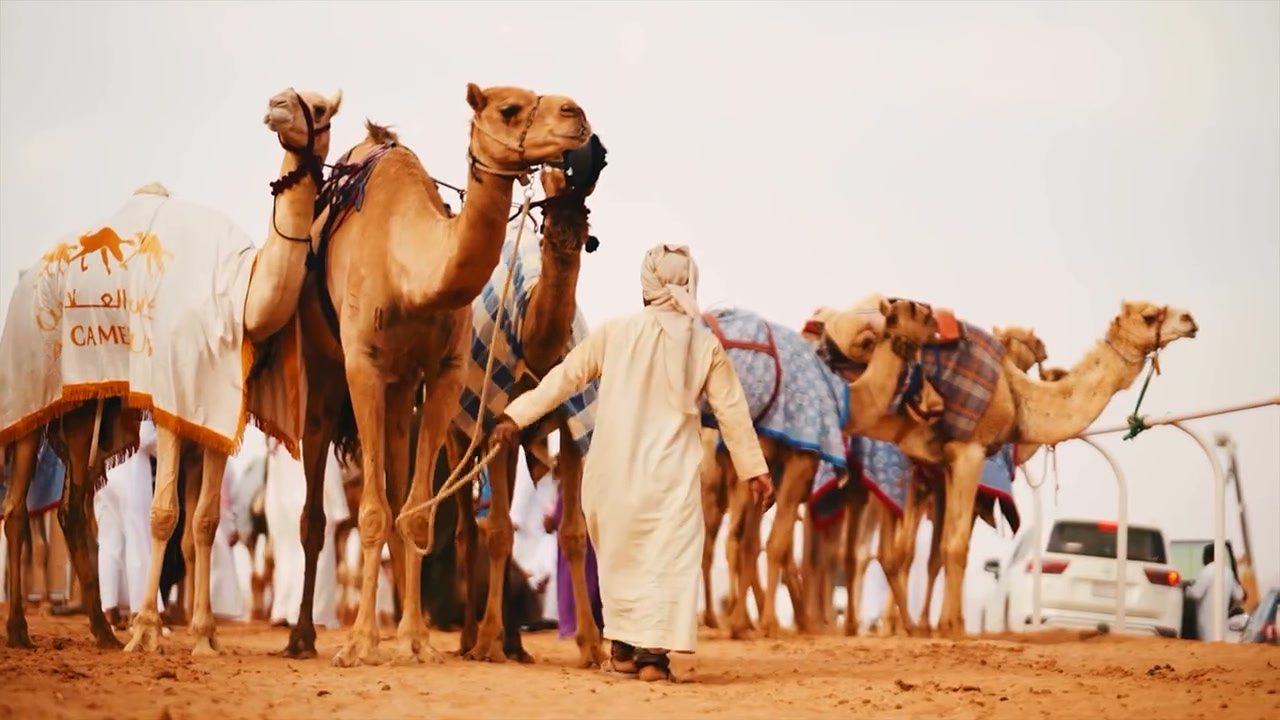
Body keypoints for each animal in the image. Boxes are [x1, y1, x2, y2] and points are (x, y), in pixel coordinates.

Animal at [281, 83, 591, 667]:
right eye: (509, 109)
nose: (577, 113)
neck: (408, 271)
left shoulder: (444, 373)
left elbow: (416, 511)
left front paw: (415, 640)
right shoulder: (363, 363)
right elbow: (372, 512)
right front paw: (359, 643)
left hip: (405, 391)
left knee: (404, 489)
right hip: (326, 365)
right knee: (315, 510)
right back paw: (304, 636)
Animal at [815, 300, 1199, 636]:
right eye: (1149, 315)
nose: (1190, 319)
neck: (1014, 392)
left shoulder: (940, 465)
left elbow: (938, 549)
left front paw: (936, 625)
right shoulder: (969, 452)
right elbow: (954, 546)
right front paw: (951, 628)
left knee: (855, 551)